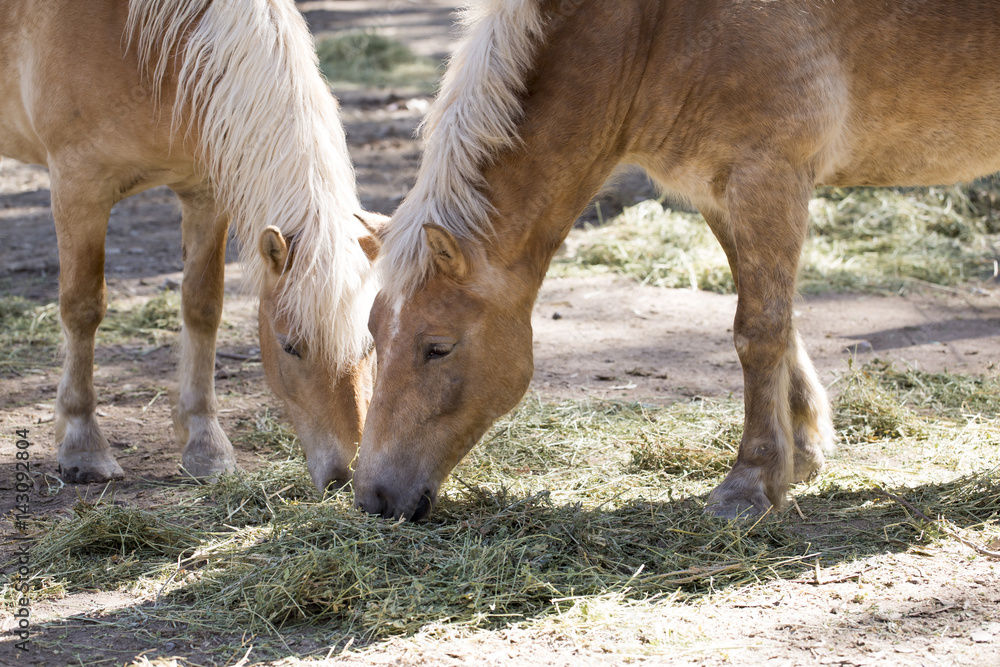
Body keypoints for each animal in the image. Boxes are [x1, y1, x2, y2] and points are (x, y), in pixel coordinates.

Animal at [0, 0, 382, 492]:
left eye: (371, 346)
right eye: (289, 347)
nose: (346, 477)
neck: (136, 43)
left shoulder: (205, 193)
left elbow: (202, 308)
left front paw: (205, 445)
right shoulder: (78, 187)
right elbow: (82, 309)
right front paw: (83, 445)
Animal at [354, 0, 1000, 521]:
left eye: (437, 347)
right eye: (373, 335)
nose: (373, 499)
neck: (657, 26)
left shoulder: (767, 179)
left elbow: (758, 332)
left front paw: (749, 486)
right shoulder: (720, 194)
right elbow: (779, 322)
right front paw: (802, 452)